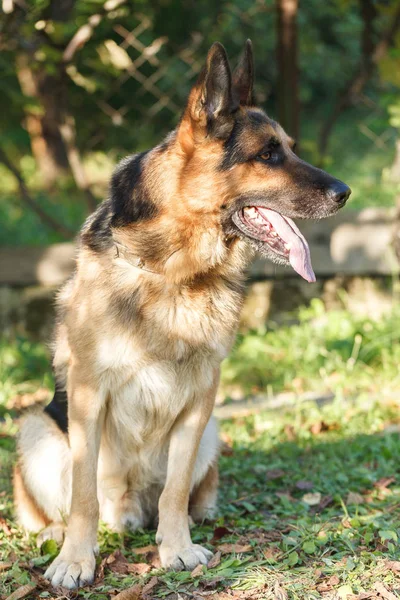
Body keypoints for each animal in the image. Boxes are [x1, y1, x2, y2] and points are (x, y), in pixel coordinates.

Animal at [14, 43, 348, 592]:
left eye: (290, 148)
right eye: (268, 154)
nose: (346, 193)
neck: (176, 272)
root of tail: (131, 505)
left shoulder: (201, 397)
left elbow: (174, 491)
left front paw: (177, 548)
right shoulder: (87, 391)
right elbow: (82, 494)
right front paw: (76, 559)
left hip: (213, 428)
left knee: (181, 491)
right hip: (35, 429)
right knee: (62, 504)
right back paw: (61, 533)